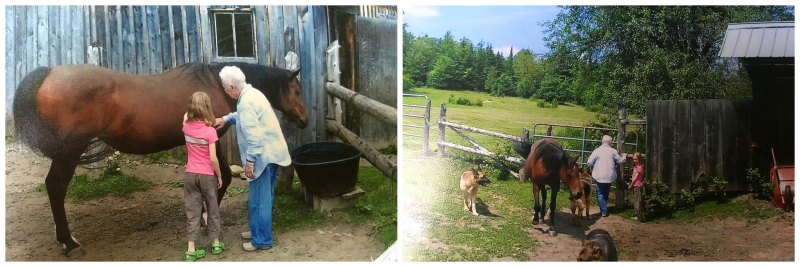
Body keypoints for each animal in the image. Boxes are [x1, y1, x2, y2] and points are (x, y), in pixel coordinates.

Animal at [13, 61, 306, 256]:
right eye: (297, 91)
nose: (304, 119)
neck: (214, 86)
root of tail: (50, 73)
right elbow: (220, 176)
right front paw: (206, 218)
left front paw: (203, 217)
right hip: (68, 153)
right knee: (55, 187)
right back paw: (69, 243)